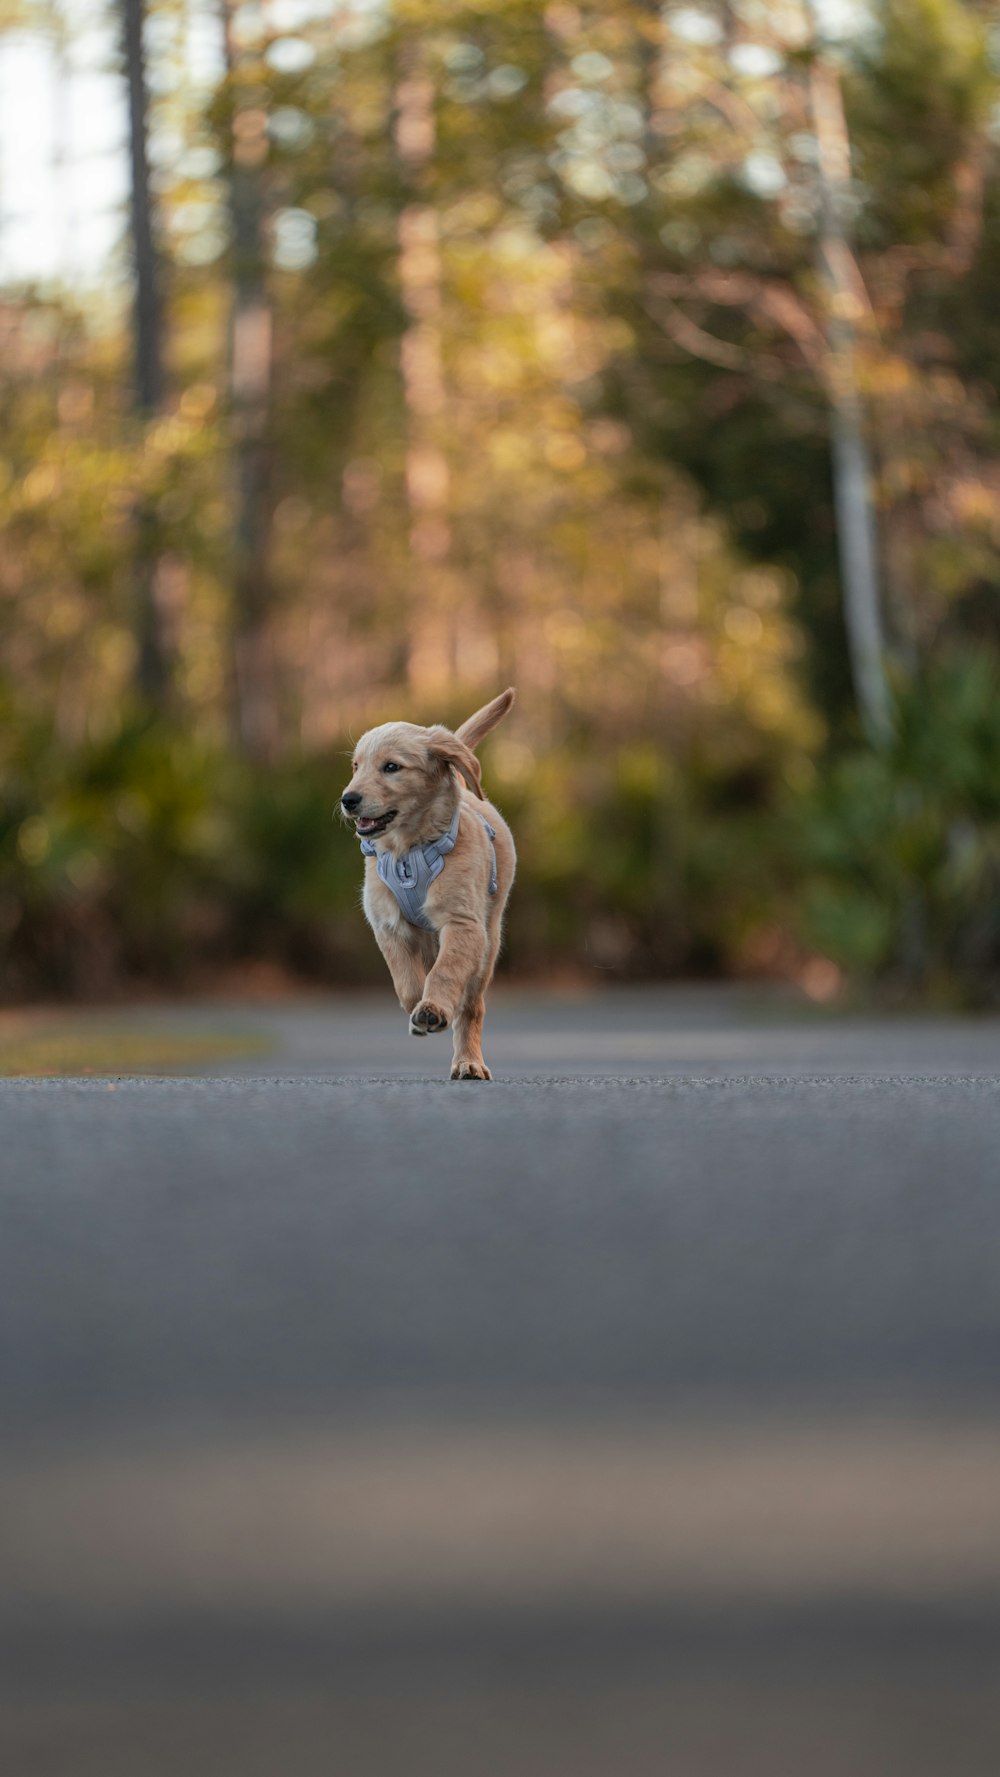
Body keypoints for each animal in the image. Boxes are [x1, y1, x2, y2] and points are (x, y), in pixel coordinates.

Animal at [342, 689, 522, 1080]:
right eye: (356, 766)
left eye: (391, 767)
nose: (348, 799)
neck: (408, 852)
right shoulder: (388, 925)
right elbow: (408, 981)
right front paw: (419, 1012)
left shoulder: (463, 924)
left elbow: (445, 971)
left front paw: (434, 1009)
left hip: (488, 942)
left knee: (472, 1007)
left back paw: (468, 1061)